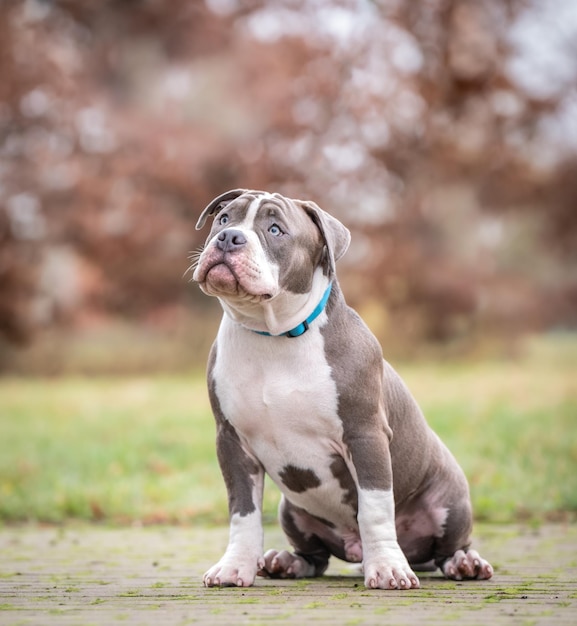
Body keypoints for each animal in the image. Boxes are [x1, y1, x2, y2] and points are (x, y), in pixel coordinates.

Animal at [191, 188, 492, 588]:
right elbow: (243, 512)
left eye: (275, 229)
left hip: (450, 500)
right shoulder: (231, 441)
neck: (273, 336)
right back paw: (286, 561)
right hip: (291, 509)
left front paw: (389, 569)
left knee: (446, 549)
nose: (228, 238)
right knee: (315, 556)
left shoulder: (365, 435)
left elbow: (375, 509)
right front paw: (234, 567)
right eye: (224, 218)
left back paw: (464, 563)